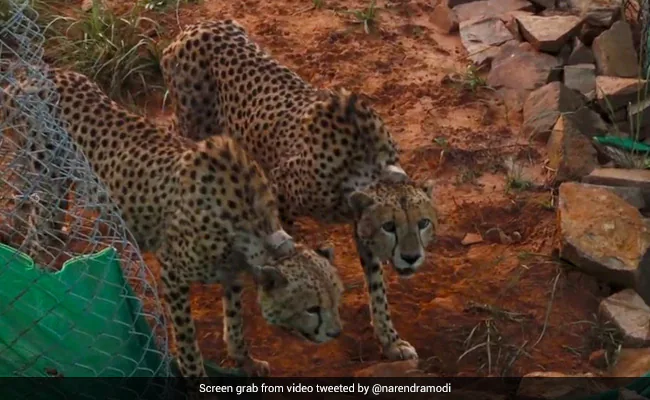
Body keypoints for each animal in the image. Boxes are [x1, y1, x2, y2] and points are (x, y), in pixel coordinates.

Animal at [1, 69, 344, 378]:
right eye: (312, 308)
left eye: (336, 297)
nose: (336, 333)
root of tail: (32, 77)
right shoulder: (173, 275)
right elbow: (188, 344)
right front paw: (197, 380)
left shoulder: (232, 273)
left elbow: (235, 324)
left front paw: (244, 360)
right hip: (48, 179)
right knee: (35, 225)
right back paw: (43, 278)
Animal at [159, 20, 438, 360]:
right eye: (390, 226)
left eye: (423, 223)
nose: (411, 257)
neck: (366, 163)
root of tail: (197, 26)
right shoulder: (280, 189)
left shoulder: (358, 218)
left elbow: (376, 286)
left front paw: (390, 339)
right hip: (192, 124)